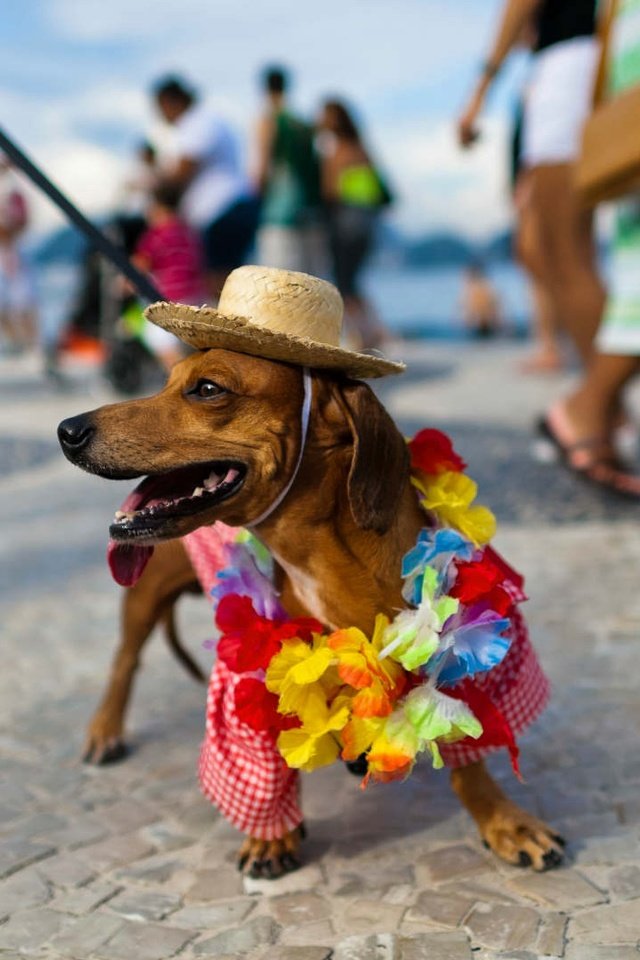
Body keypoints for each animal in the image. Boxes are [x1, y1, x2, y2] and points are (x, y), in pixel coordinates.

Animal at [57, 348, 564, 872]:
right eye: (165, 382)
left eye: (208, 389)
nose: (67, 430)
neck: (323, 562)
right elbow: (269, 765)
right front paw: (273, 835)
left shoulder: (454, 655)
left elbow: (465, 751)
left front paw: (503, 820)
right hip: (145, 591)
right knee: (125, 660)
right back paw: (105, 729)